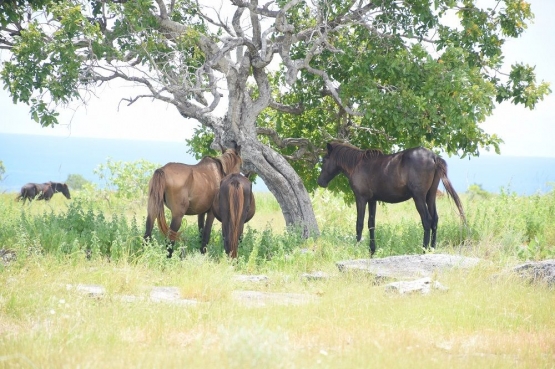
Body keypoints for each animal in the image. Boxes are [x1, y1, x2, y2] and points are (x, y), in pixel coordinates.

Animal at [318, 142, 464, 254]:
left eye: (324, 160)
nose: (320, 182)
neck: (357, 165)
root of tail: (433, 157)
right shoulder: (372, 200)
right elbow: (371, 224)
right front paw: (372, 251)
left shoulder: (361, 198)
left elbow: (359, 224)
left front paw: (357, 249)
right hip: (430, 196)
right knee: (434, 220)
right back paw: (432, 249)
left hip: (419, 197)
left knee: (427, 220)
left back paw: (423, 250)